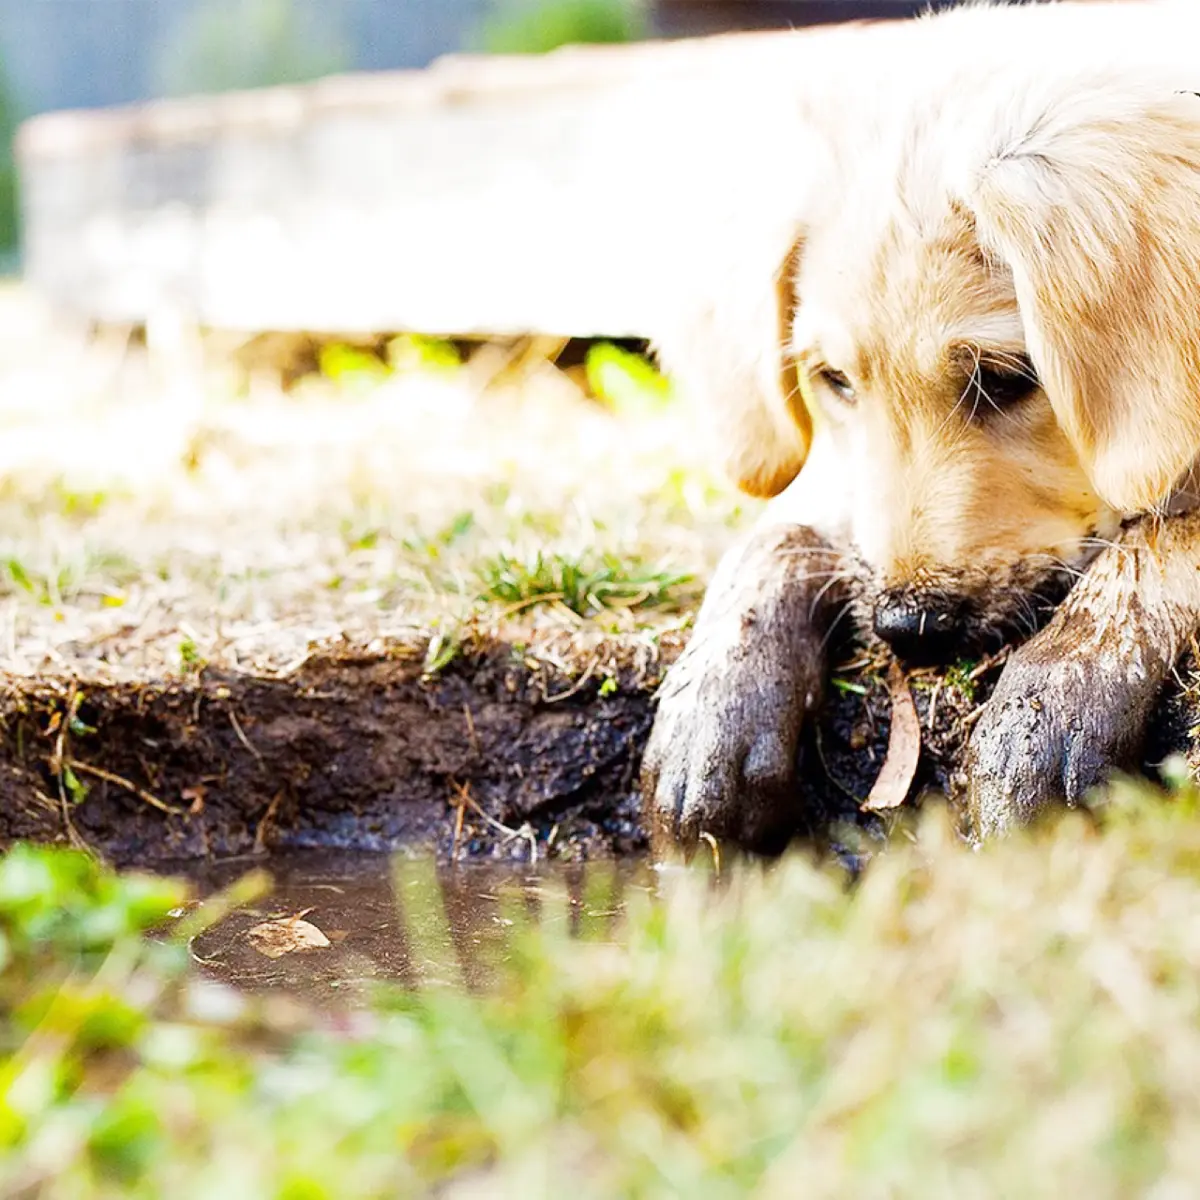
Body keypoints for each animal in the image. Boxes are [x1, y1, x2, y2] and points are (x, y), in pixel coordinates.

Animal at [643, 0, 1200, 849]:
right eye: (836, 382)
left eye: (1002, 380)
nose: (908, 628)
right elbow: (779, 532)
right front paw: (717, 704)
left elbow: (1163, 539)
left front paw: (1055, 697)